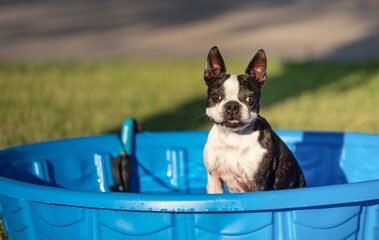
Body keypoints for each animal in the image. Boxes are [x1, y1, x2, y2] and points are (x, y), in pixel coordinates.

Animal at [203, 46, 308, 193]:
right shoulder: (213, 180)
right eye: (216, 96)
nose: (232, 106)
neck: (232, 138)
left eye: (250, 99)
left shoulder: (257, 183)